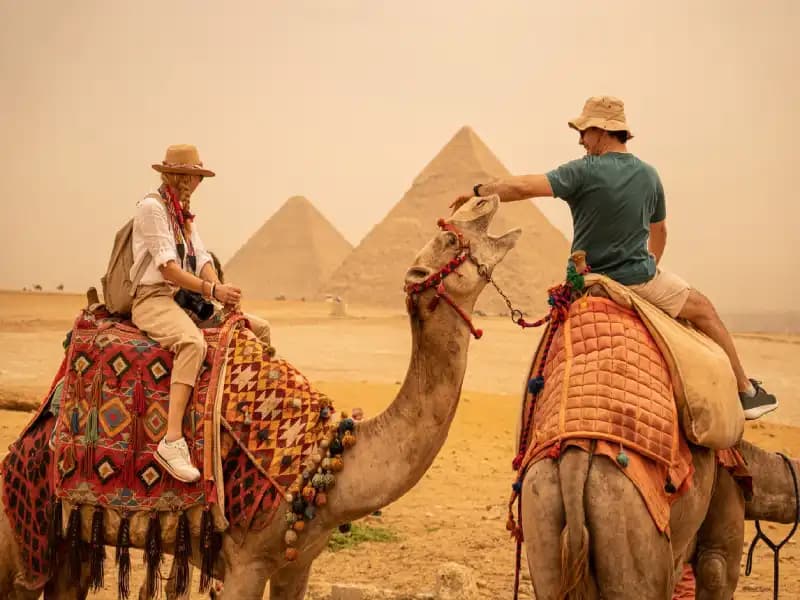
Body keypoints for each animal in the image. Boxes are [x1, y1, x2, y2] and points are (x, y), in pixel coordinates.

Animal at [0, 195, 522, 600]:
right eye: (450, 240)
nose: (485, 197)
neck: (331, 462)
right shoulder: (245, 560)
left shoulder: (298, 561)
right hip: (20, 530)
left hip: (69, 540)